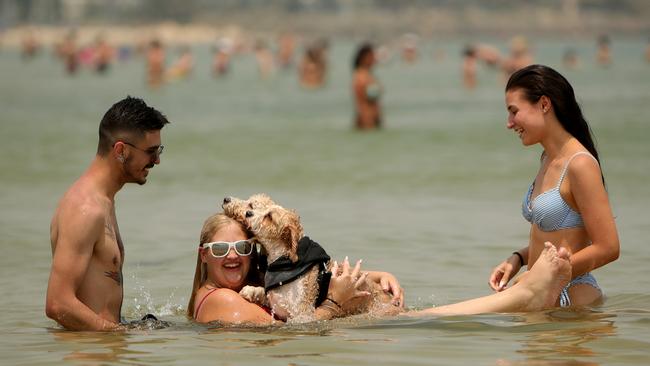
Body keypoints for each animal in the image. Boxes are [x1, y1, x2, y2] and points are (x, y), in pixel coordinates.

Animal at [220, 193, 398, 322]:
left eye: (269, 216)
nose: (248, 213)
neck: (285, 263)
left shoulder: (302, 314)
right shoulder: (278, 299)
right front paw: (251, 290)